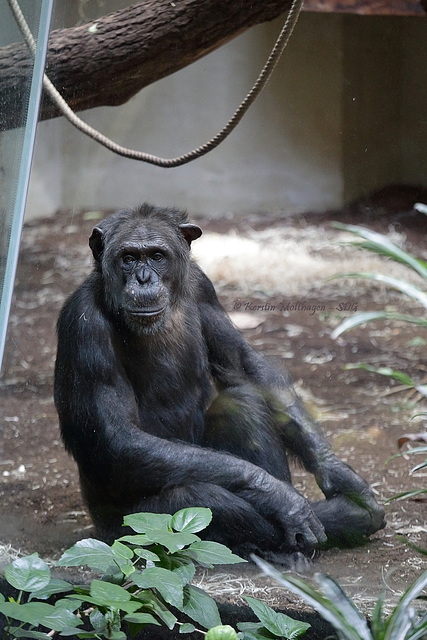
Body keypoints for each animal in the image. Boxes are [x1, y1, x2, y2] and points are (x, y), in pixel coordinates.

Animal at [55, 205, 386, 556]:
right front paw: (280, 496)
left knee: (243, 404)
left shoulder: (203, 288)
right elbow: (119, 435)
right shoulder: (84, 324)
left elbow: (245, 366)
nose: (144, 278)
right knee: (201, 499)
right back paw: (332, 520)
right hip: (122, 529)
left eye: (157, 256)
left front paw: (340, 475)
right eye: (128, 258)